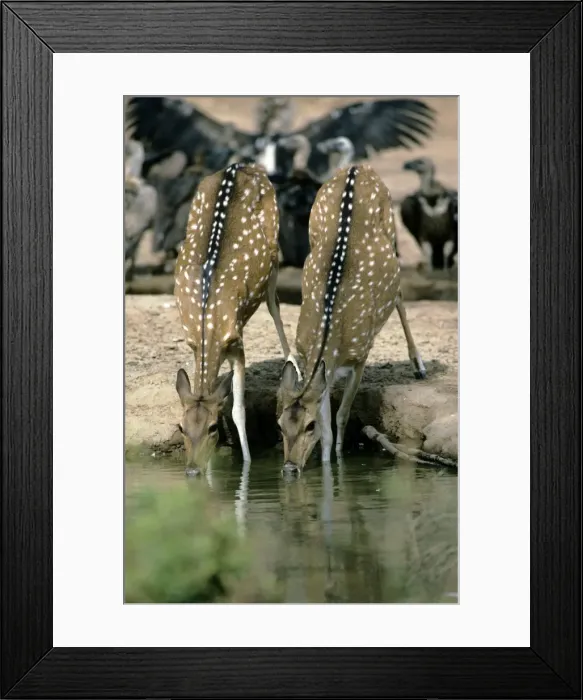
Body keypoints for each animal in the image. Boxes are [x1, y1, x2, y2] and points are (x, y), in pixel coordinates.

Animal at [174, 162, 300, 476]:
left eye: (211, 428)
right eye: (180, 427)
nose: (191, 470)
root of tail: (243, 165)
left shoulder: (237, 341)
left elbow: (238, 410)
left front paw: (247, 467)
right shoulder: (192, 341)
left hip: (274, 249)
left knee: (275, 305)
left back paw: (294, 364)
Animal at [277, 164, 426, 474]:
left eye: (309, 426)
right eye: (279, 425)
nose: (289, 468)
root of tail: (358, 167)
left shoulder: (361, 354)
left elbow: (341, 416)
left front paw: (339, 462)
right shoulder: (322, 370)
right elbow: (327, 426)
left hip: (392, 230)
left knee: (399, 295)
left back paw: (419, 365)